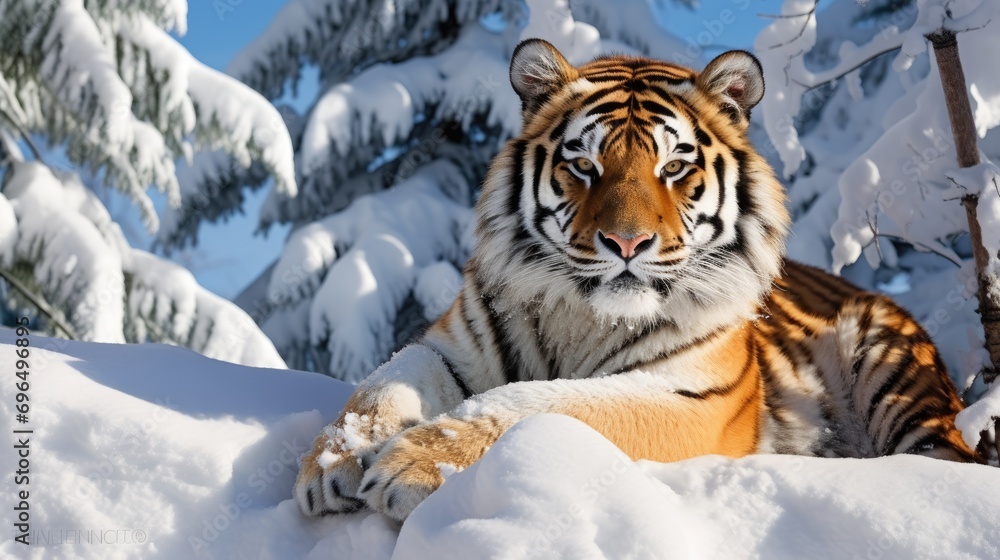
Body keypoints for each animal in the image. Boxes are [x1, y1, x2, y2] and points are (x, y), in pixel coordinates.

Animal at [292, 38, 980, 520]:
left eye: (674, 166)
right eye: (584, 165)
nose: (627, 243)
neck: (581, 314)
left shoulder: (687, 395)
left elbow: (538, 403)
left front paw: (412, 465)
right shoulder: (450, 347)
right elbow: (381, 386)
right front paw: (333, 461)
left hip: (892, 370)